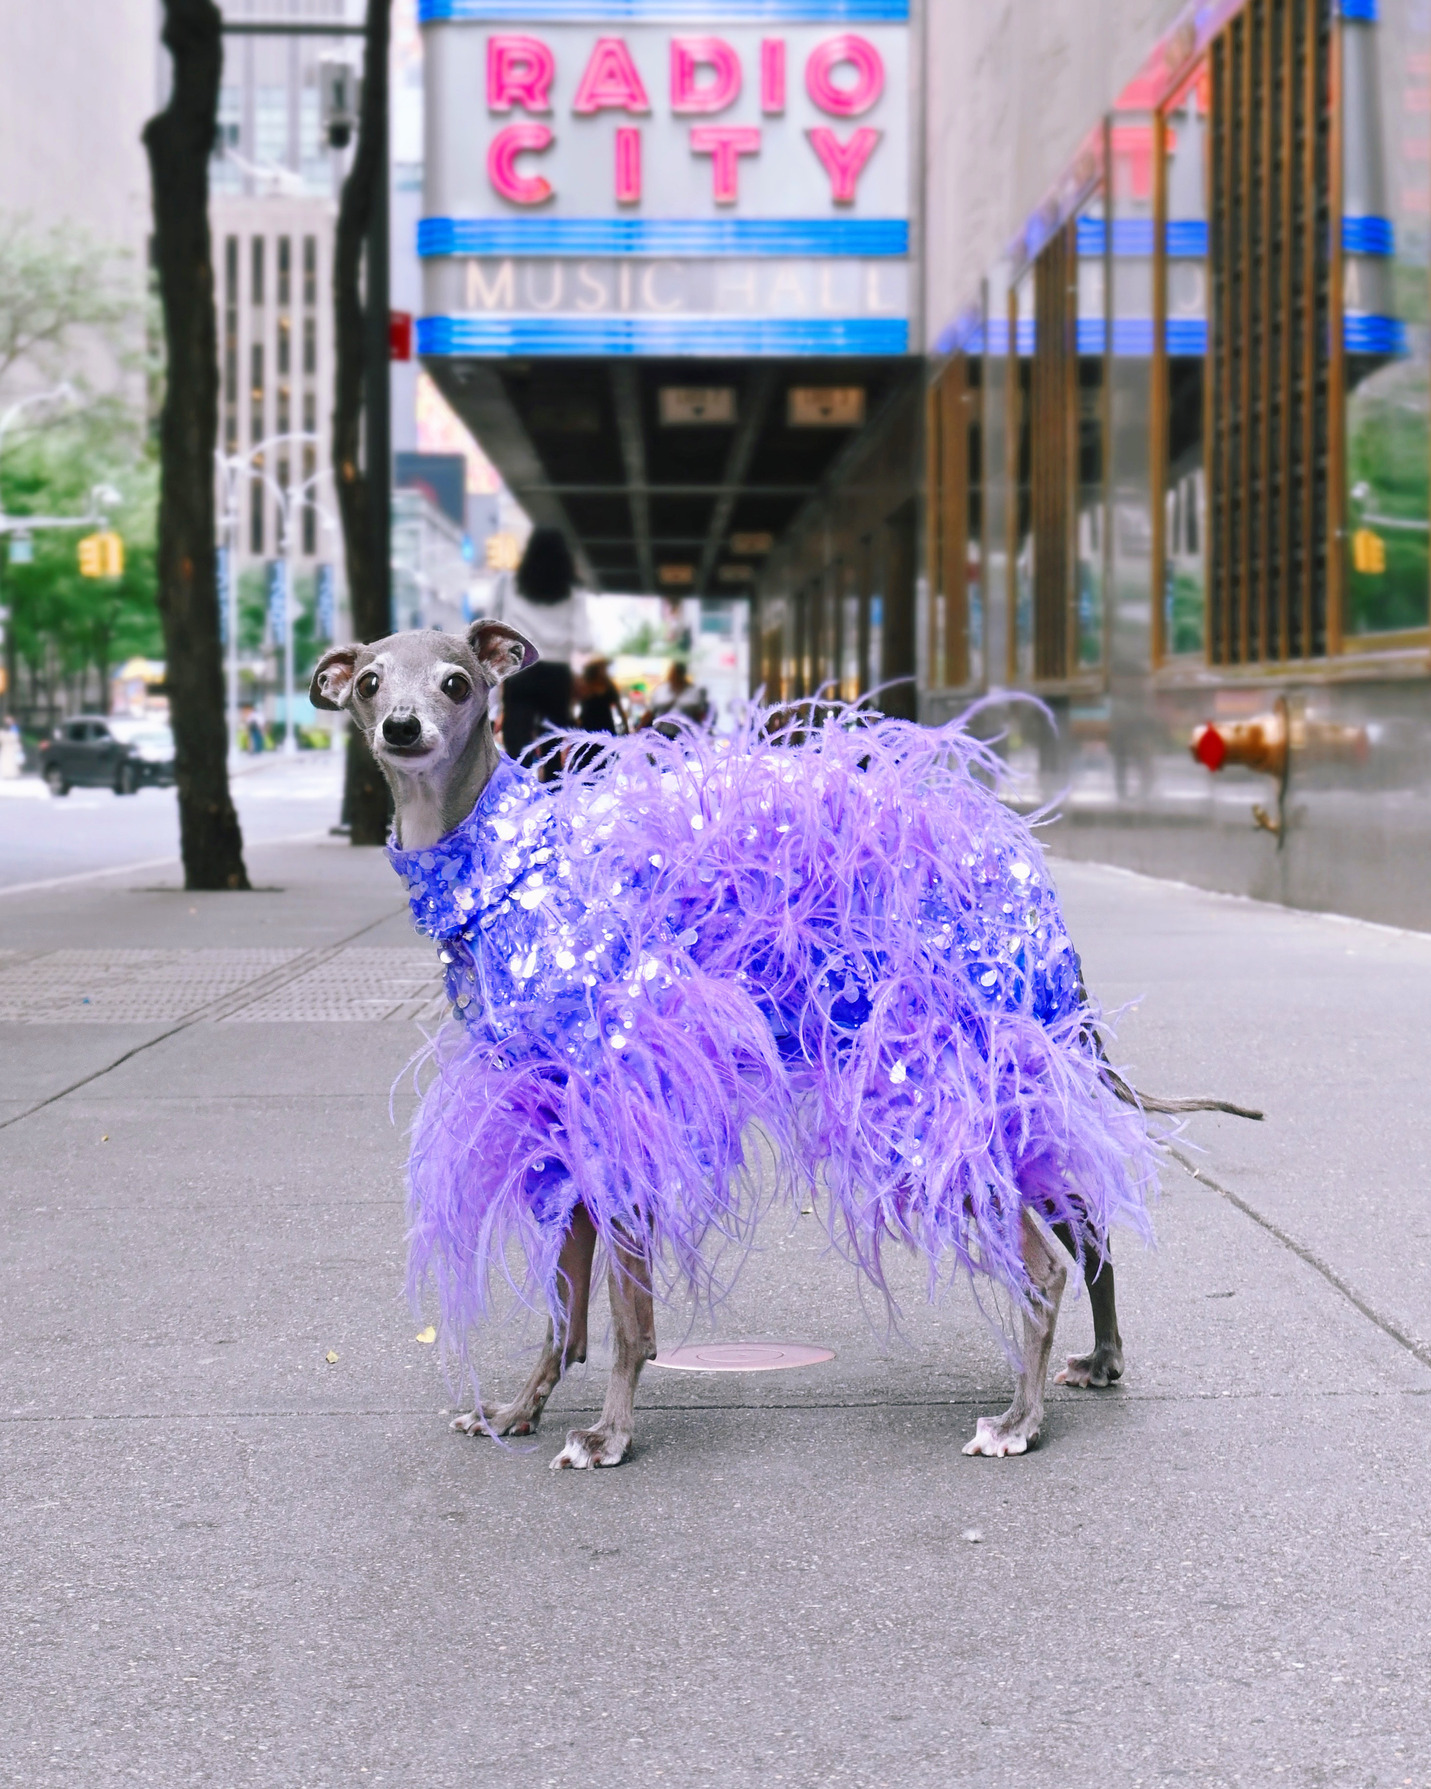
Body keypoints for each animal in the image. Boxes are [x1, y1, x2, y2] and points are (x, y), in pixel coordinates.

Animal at [309, 622, 1252, 1459]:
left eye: (456, 682)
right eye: (369, 683)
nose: (403, 728)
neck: (505, 868)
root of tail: (1030, 882)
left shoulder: (620, 1094)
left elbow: (626, 1316)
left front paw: (610, 1435)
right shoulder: (566, 1110)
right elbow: (563, 1309)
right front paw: (519, 1410)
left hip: (932, 1090)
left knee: (1044, 1268)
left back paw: (1019, 1421)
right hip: (1003, 1086)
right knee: (1087, 1217)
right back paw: (1101, 1359)